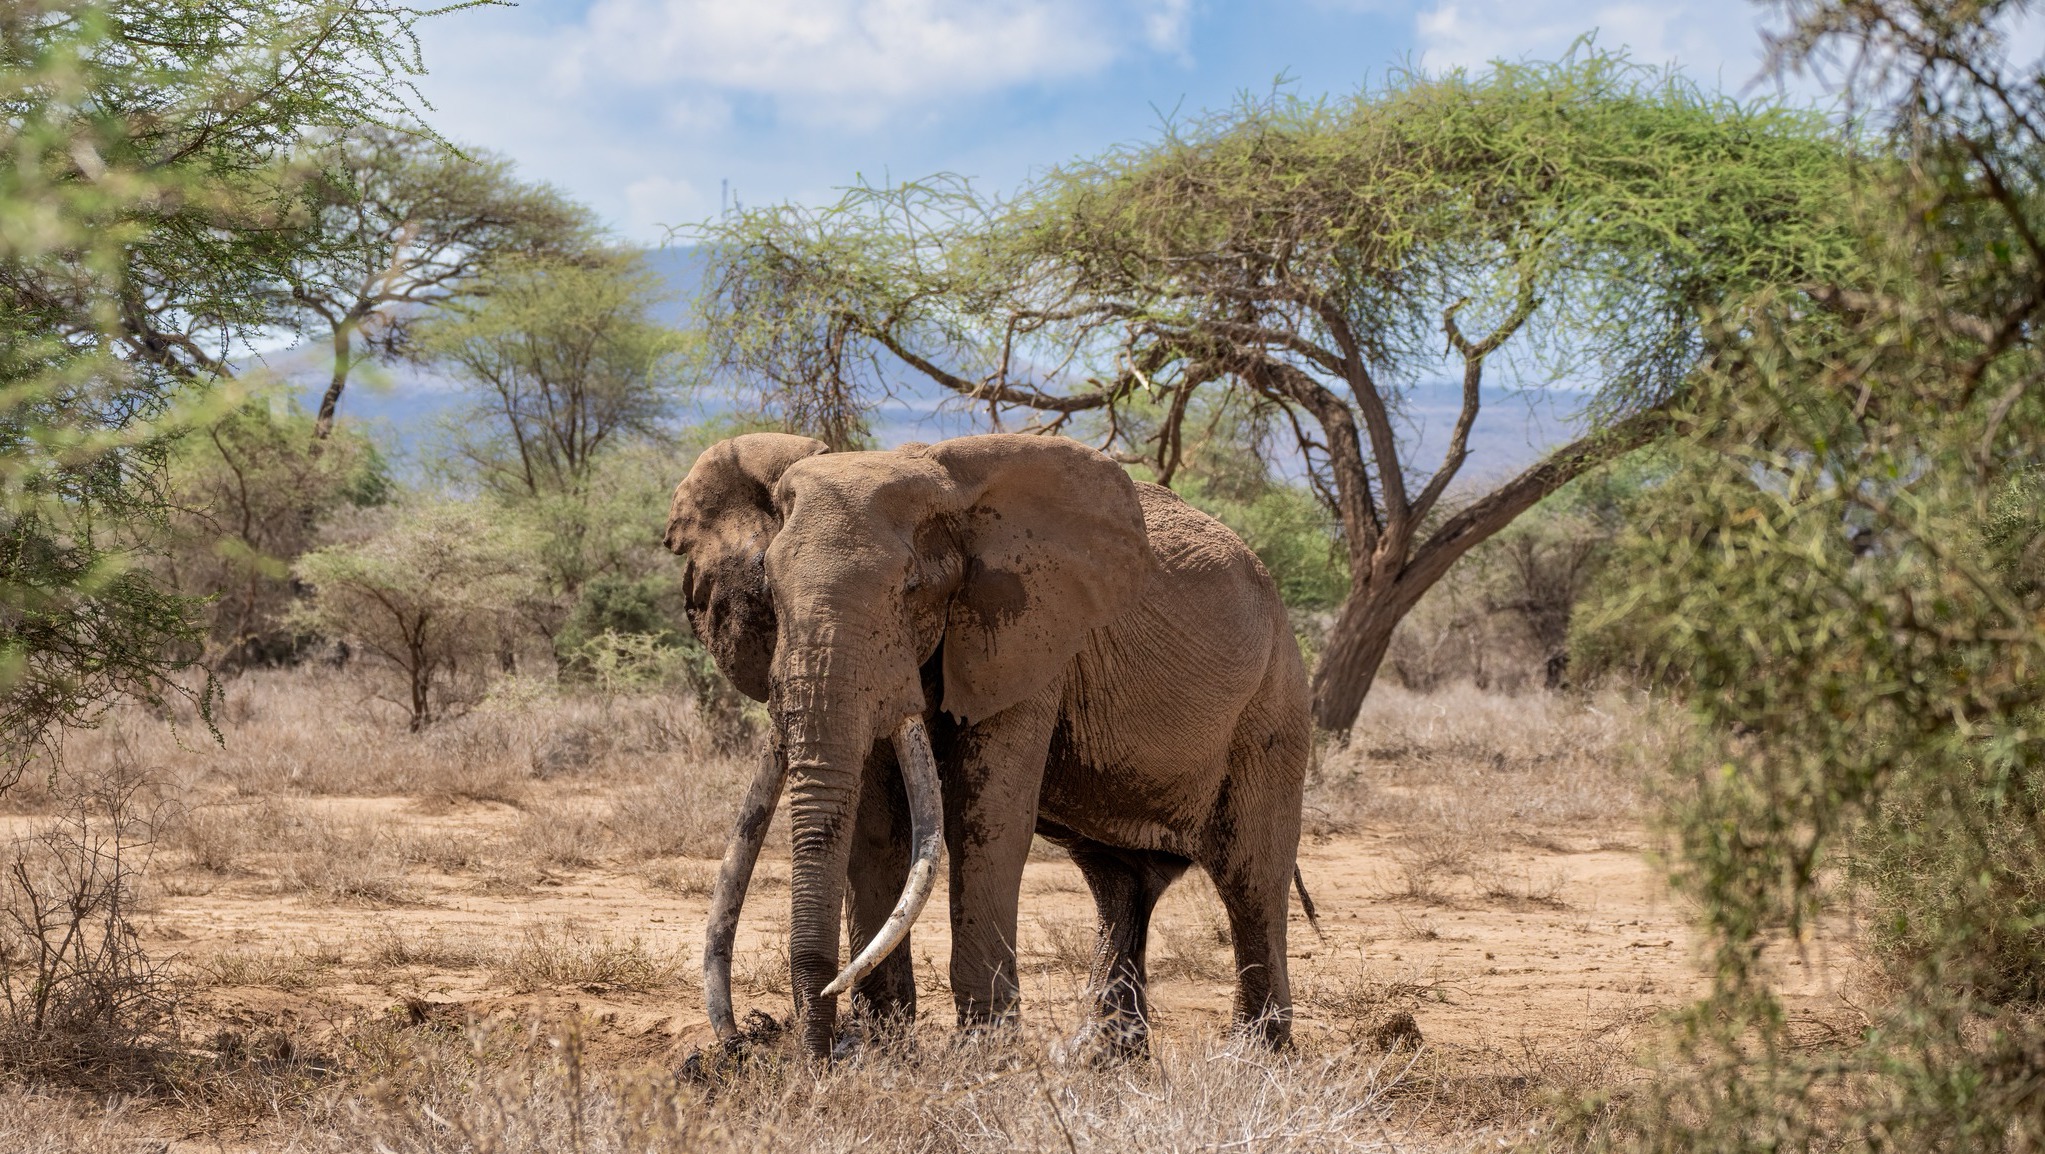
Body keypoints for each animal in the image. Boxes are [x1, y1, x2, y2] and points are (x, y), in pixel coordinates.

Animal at [662, 431, 1312, 1060]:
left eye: (913, 589)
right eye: (767, 589)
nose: (742, 1042)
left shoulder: (1029, 635)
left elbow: (987, 818)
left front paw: (984, 1056)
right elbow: (878, 825)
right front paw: (882, 1051)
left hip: (1274, 702)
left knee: (1250, 878)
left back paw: (1251, 1058)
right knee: (1118, 883)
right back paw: (1100, 1058)